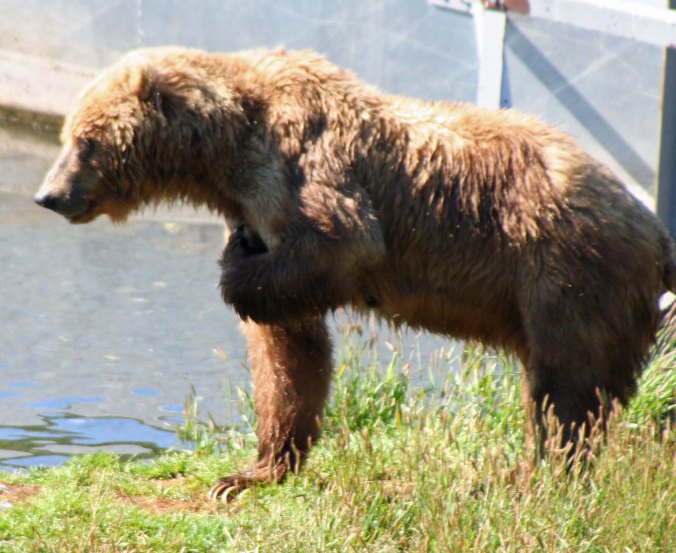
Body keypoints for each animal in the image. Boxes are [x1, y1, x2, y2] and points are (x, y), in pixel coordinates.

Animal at [34, 47, 676, 501]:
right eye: (66, 134)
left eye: (85, 140)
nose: (48, 195)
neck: (227, 154)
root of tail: (653, 225)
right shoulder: (261, 214)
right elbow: (289, 354)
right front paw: (252, 471)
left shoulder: (308, 170)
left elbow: (340, 242)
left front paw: (233, 277)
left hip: (567, 275)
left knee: (565, 389)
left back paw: (534, 476)